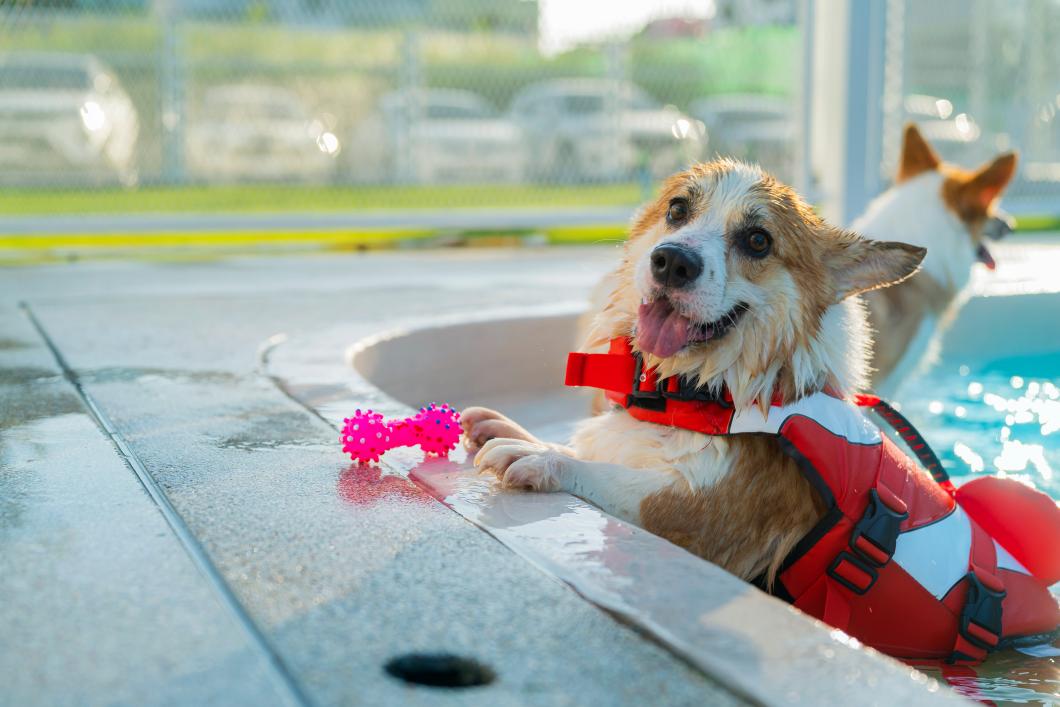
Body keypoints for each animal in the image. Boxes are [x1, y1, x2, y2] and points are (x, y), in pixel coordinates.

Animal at [460, 160, 924, 585]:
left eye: (758, 240)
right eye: (678, 209)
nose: (671, 262)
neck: (699, 388)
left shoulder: (699, 514)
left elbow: (607, 474)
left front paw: (538, 457)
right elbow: (591, 449)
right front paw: (510, 431)